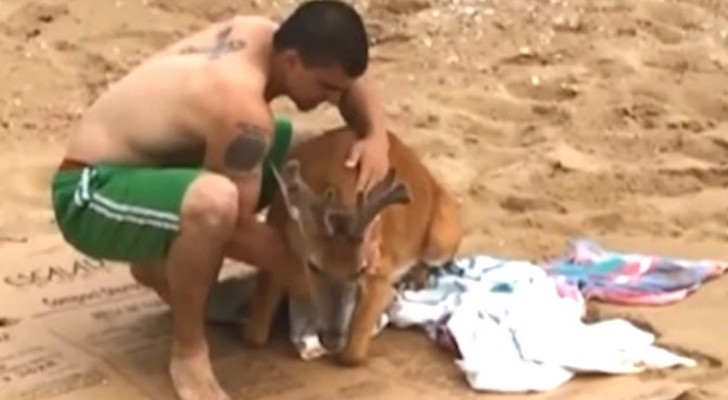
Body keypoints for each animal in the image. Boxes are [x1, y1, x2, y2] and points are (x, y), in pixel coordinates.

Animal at [243, 125, 460, 366]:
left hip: (443, 237)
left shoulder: (380, 271)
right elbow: (254, 336)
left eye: (361, 268)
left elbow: (352, 355)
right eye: (314, 265)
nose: (332, 339)